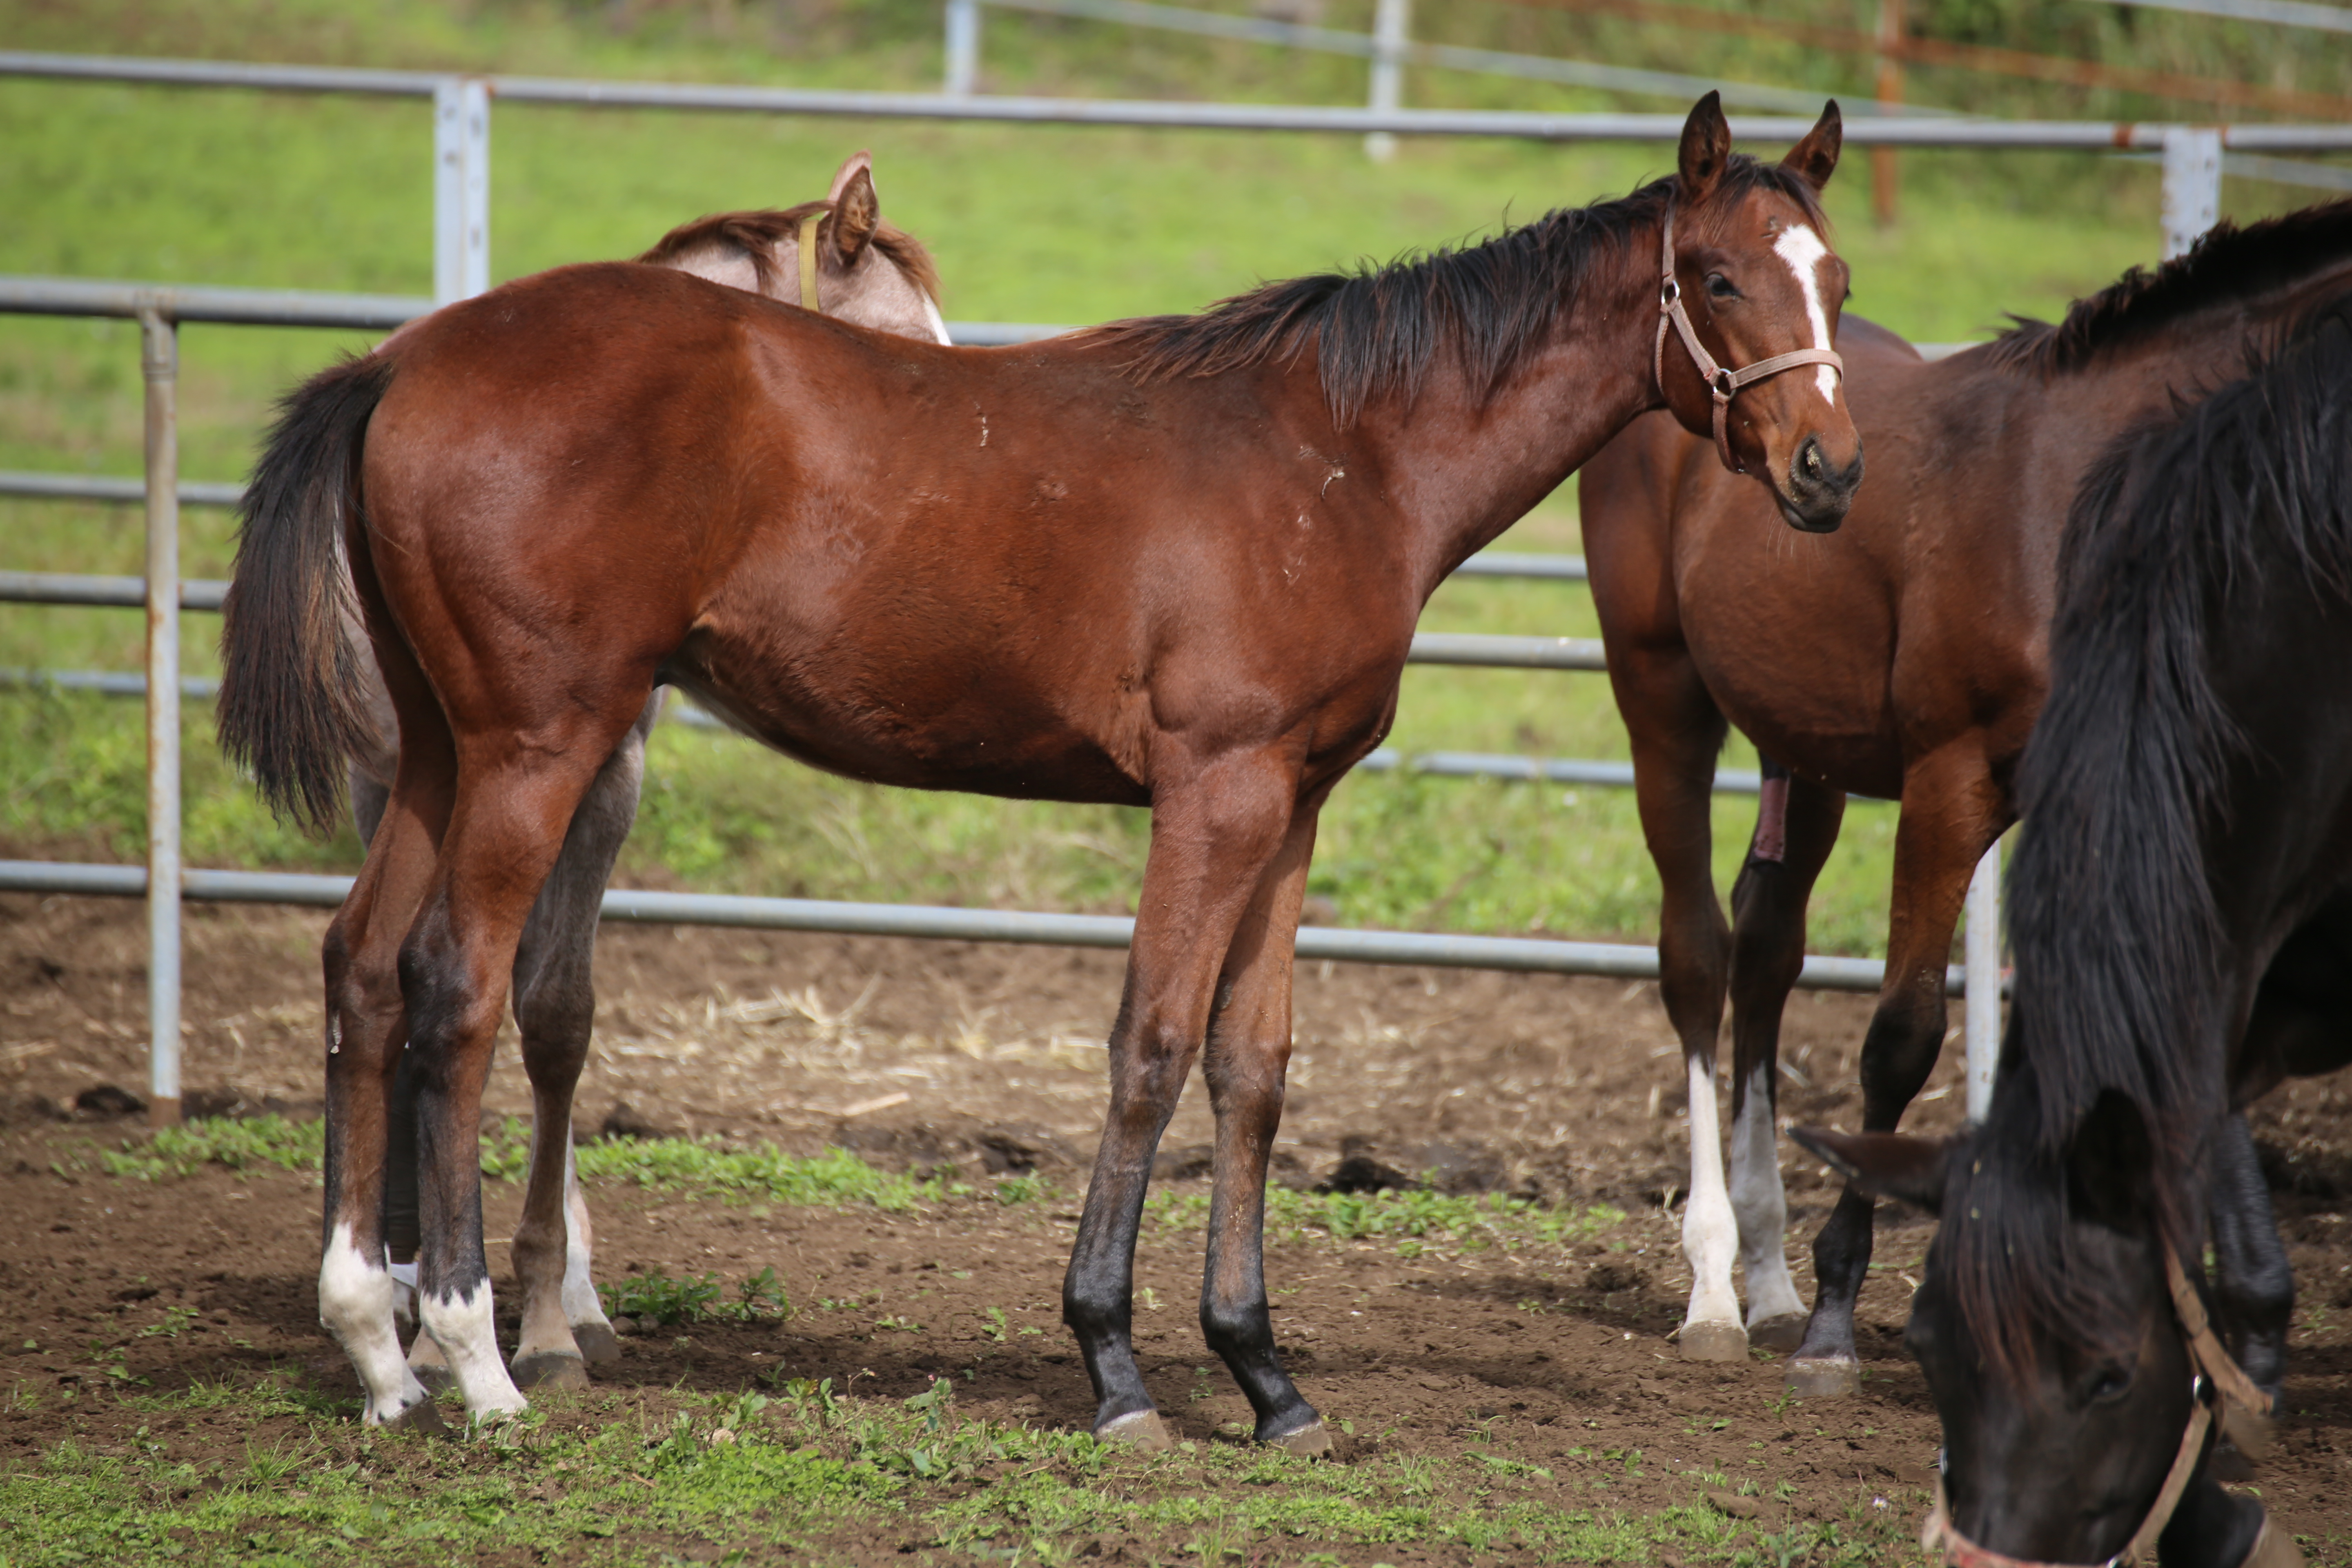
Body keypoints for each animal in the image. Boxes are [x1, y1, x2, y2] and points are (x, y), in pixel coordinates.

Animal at [229, 95, 1862, 1448]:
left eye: (1836, 284)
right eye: (1721, 279)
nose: (1830, 472)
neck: (1343, 454)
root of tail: (401, 358)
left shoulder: (1292, 806)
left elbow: (1252, 1069)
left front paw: (1263, 1376)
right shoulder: (1213, 793)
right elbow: (1150, 1049)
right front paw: (1117, 1369)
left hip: (440, 752)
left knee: (367, 966)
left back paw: (377, 1350)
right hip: (537, 747)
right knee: (459, 989)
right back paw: (478, 1363)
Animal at [1571, 200, 2352, 1401]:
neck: (2080, 485)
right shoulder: (1955, 777)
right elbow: (1902, 1037)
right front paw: (1839, 1319)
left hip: (1809, 749)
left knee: (1765, 949)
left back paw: (1768, 1272)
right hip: (1662, 702)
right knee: (1697, 956)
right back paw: (1716, 1286)